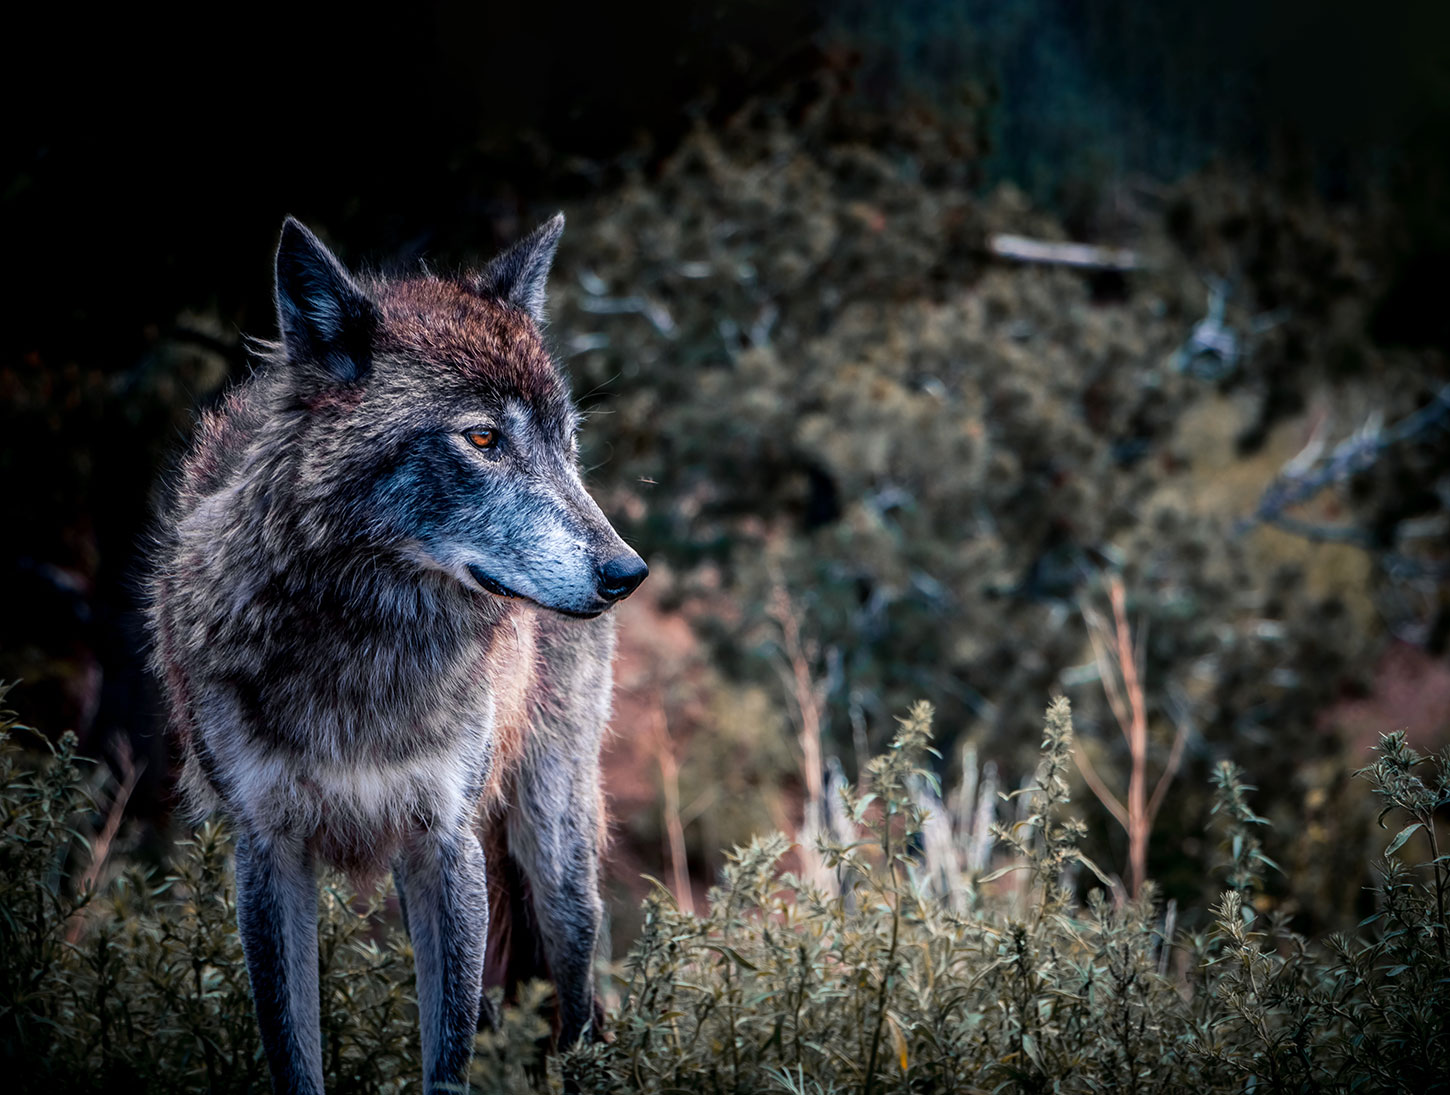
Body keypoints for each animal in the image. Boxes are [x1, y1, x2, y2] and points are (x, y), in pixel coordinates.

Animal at [148, 213, 647, 1093]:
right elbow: (296, 1054)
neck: (367, 648)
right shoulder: (267, 852)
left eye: (566, 443)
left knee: (578, 1013)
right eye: (482, 437)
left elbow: (446, 1062)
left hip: (555, 861)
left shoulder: (442, 843)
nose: (628, 571)